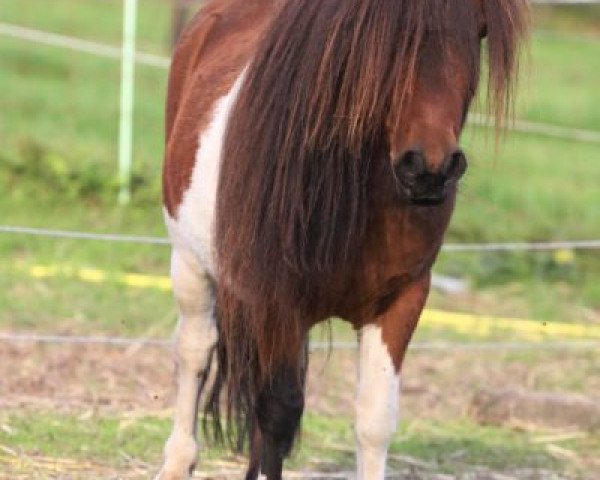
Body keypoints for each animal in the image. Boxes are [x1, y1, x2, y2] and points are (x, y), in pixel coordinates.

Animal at [157, 0, 528, 480]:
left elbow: (373, 420)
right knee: (195, 352)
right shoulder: (276, 301)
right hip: (189, 263)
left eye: (476, 32)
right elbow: (277, 412)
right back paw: (177, 460)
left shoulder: (402, 299)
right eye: (388, 42)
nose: (429, 169)